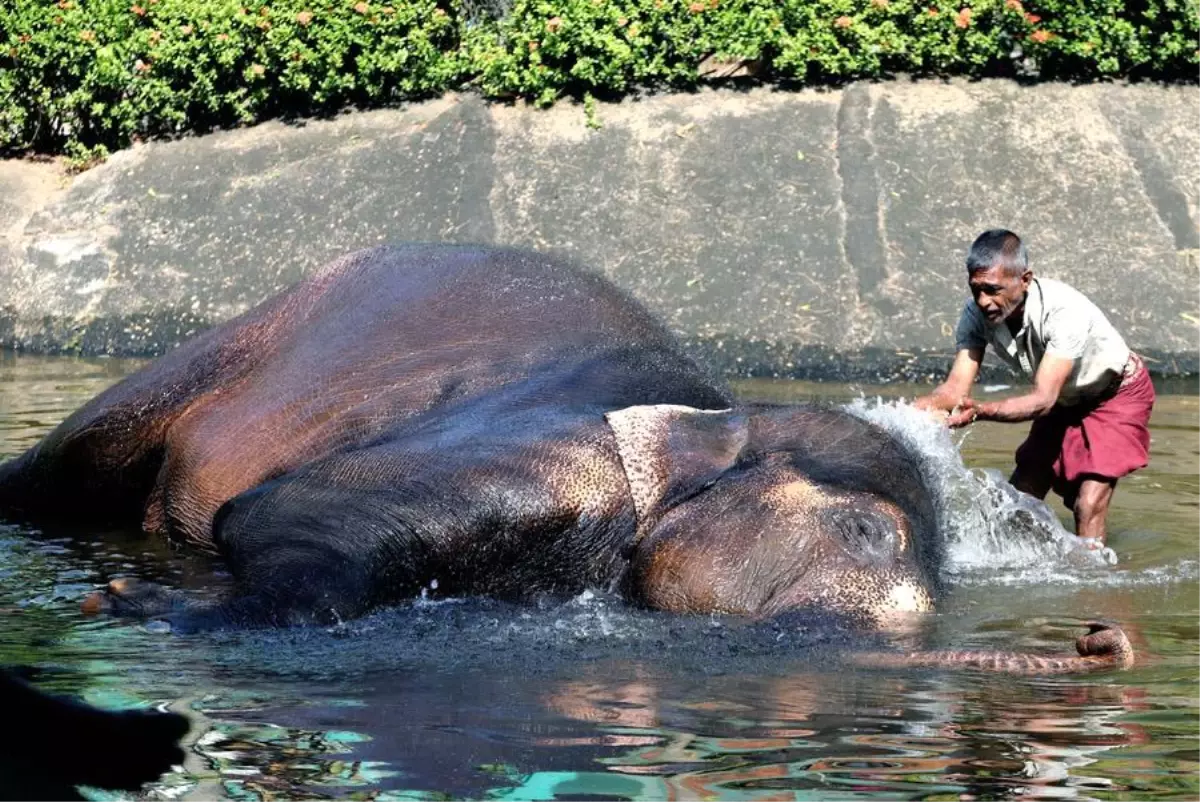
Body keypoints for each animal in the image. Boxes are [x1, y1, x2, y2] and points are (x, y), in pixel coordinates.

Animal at [0, 242, 1132, 672]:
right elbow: (283, 515)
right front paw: (132, 605)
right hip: (225, 350)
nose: (1100, 637)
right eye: (861, 531)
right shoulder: (541, 450)